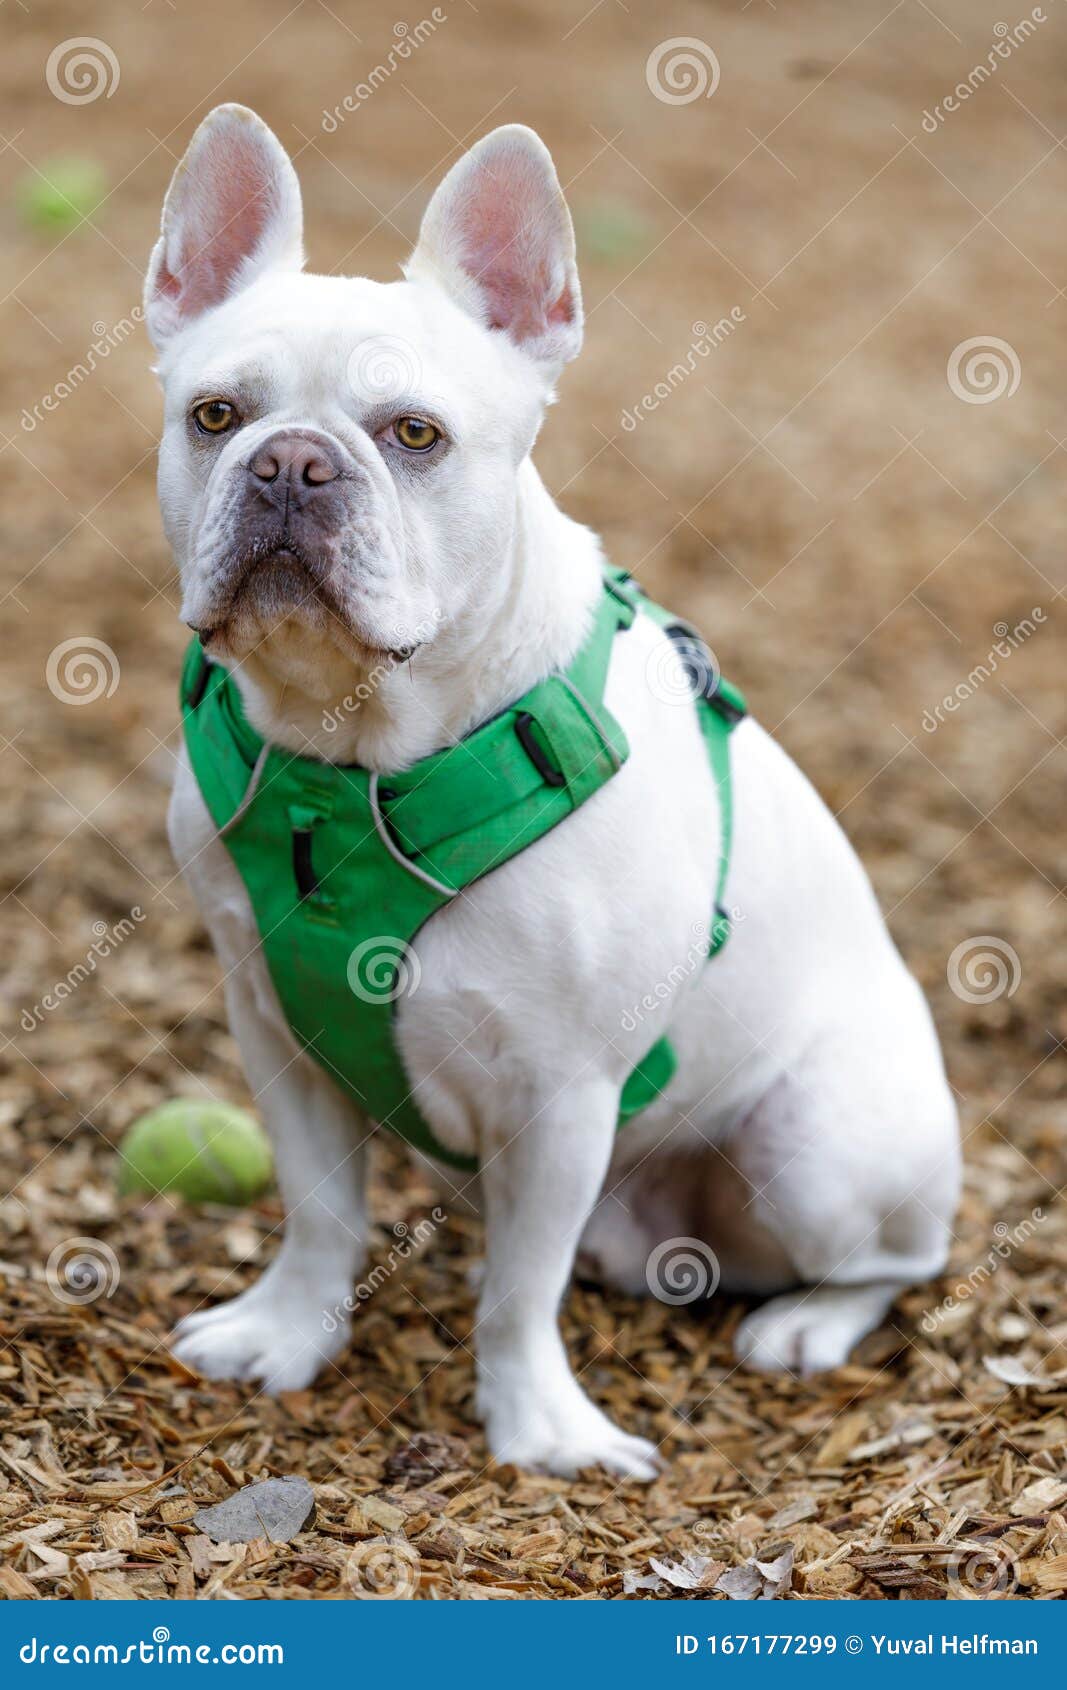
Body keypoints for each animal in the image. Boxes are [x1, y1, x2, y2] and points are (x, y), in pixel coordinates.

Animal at [147, 109, 960, 1480]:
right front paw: (288, 1335)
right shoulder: (278, 1034)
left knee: (896, 1263)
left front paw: (536, 1425)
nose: (292, 463)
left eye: (414, 435)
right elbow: (319, 1212)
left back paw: (802, 1323)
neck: (351, 761)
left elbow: (517, 1293)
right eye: (215, 414)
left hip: (820, 1150)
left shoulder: (561, 1091)